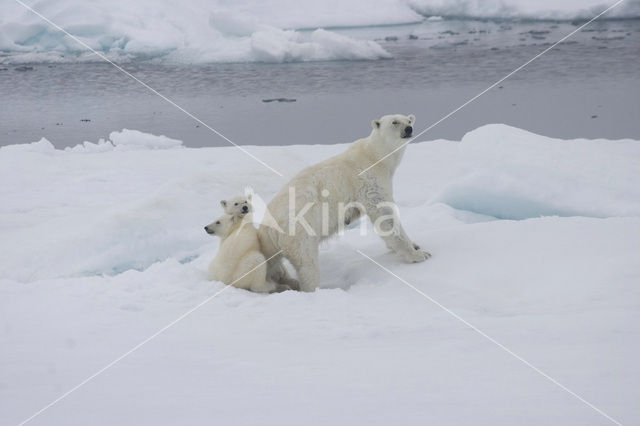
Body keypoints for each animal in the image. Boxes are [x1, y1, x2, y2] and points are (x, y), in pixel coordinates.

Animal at [258, 113, 430, 292]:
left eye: (408, 120)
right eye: (394, 122)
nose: (409, 129)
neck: (375, 156)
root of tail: (268, 226)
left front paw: (415, 245)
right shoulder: (369, 180)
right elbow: (384, 215)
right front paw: (419, 254)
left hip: (270, 243)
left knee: (271, 262)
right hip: (299, 230)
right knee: (307, 264)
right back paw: (310, 287)